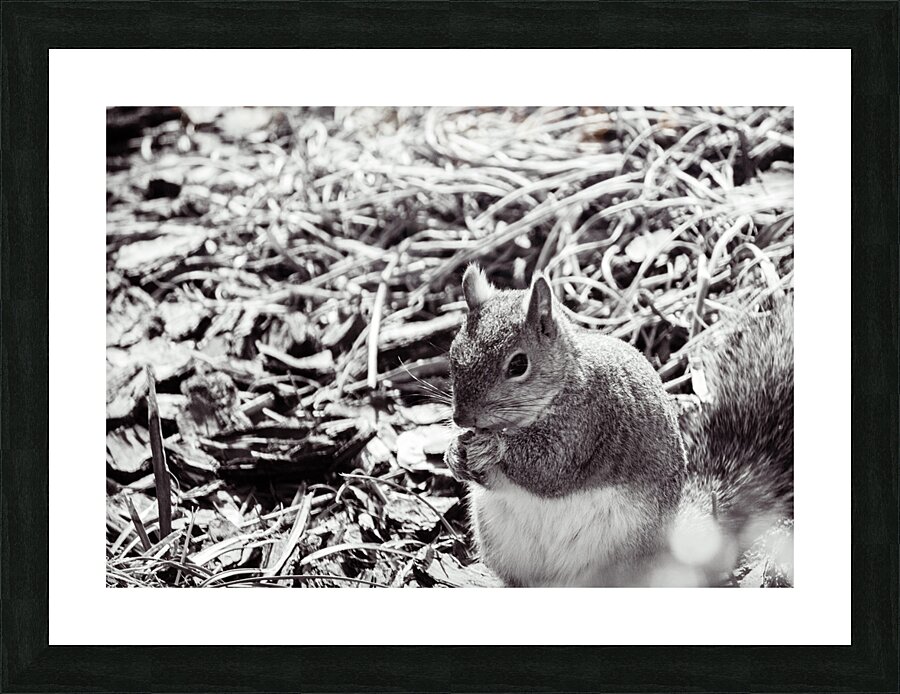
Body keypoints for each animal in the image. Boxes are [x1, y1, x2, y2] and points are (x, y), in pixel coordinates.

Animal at [443, 264, 793, 587]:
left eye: (518, 364)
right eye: (453, 354)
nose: (462, 418)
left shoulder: (591, 423)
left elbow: (549, 468)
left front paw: (493, 446)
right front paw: (455, 453)